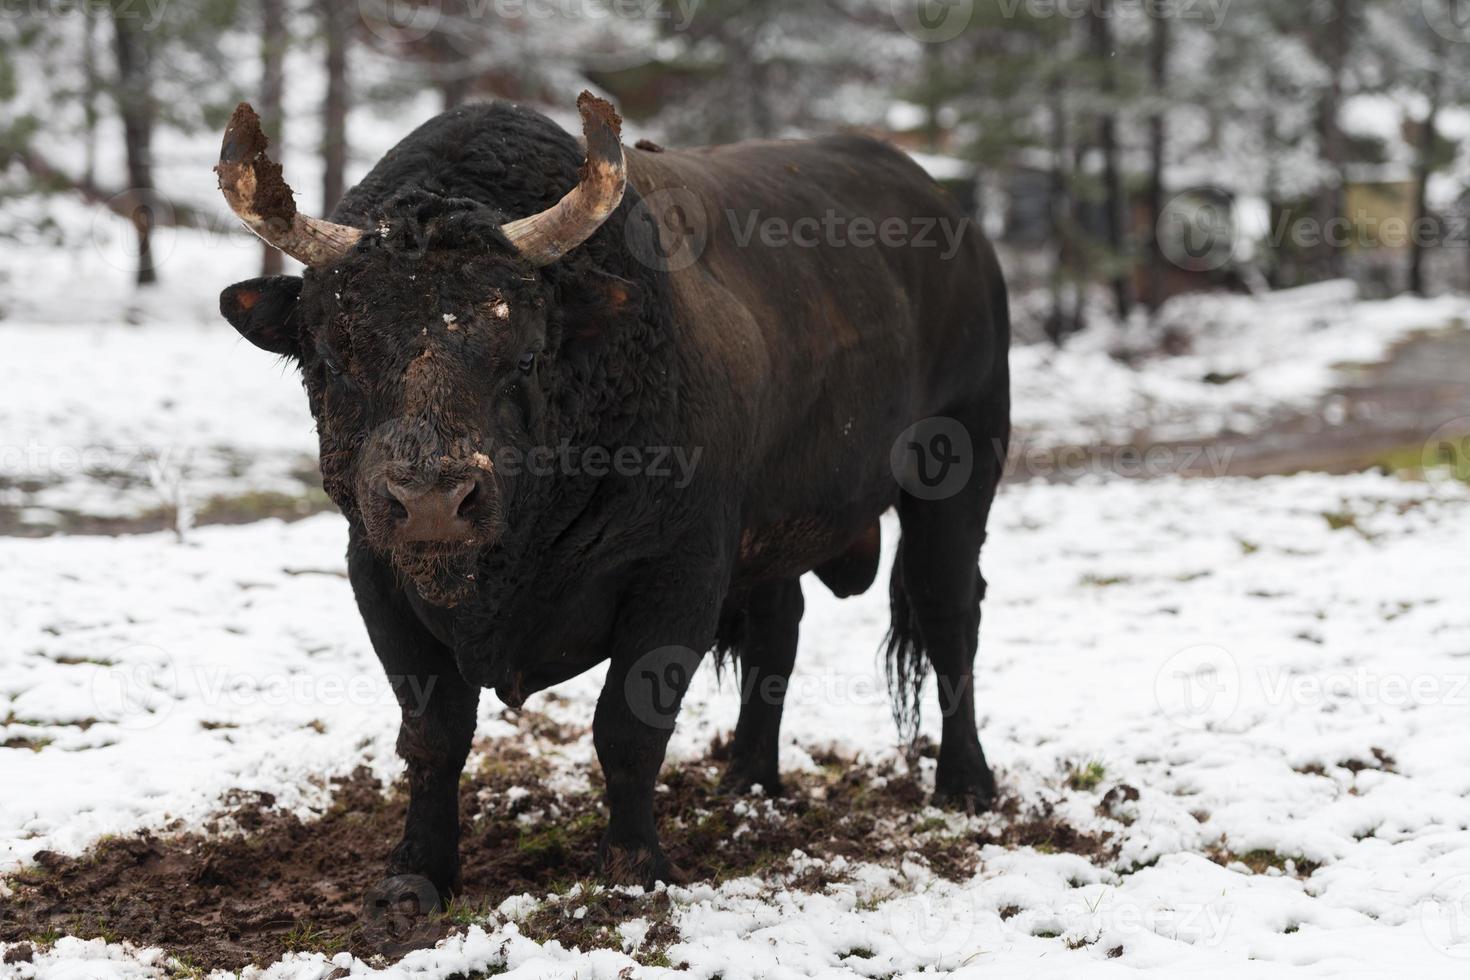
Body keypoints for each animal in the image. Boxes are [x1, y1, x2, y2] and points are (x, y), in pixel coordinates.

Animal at [214, 97, 1011, 899]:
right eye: (332, 359)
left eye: (525, 355)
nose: (435, 500)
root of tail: (950, 217)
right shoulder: (377, 576)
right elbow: (434, 734)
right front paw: (416, 873)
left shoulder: (678, 572)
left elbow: (627, 727)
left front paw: (632, 864)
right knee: (777, 628)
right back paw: (749, 780)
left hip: (960, 470)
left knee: (950, 616)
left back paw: (966, 783)